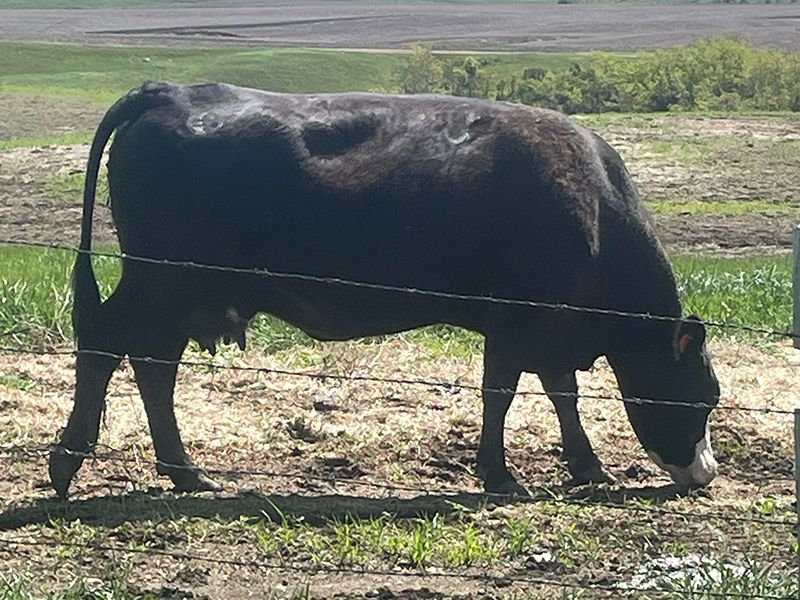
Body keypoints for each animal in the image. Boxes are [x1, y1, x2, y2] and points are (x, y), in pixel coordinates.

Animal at [49, 81, 720, 500]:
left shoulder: (549, 330)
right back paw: (68, 463)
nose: (708, 474)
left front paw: (587, 467)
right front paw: (501, 476)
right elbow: (501, 394)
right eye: (705, 398)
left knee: (152, 364)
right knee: (107, 343)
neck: (595, 208)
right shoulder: (515, 323)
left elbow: (562, 393)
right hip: (162, 281)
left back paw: (184, 472)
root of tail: (170, 91)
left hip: (179, 297)